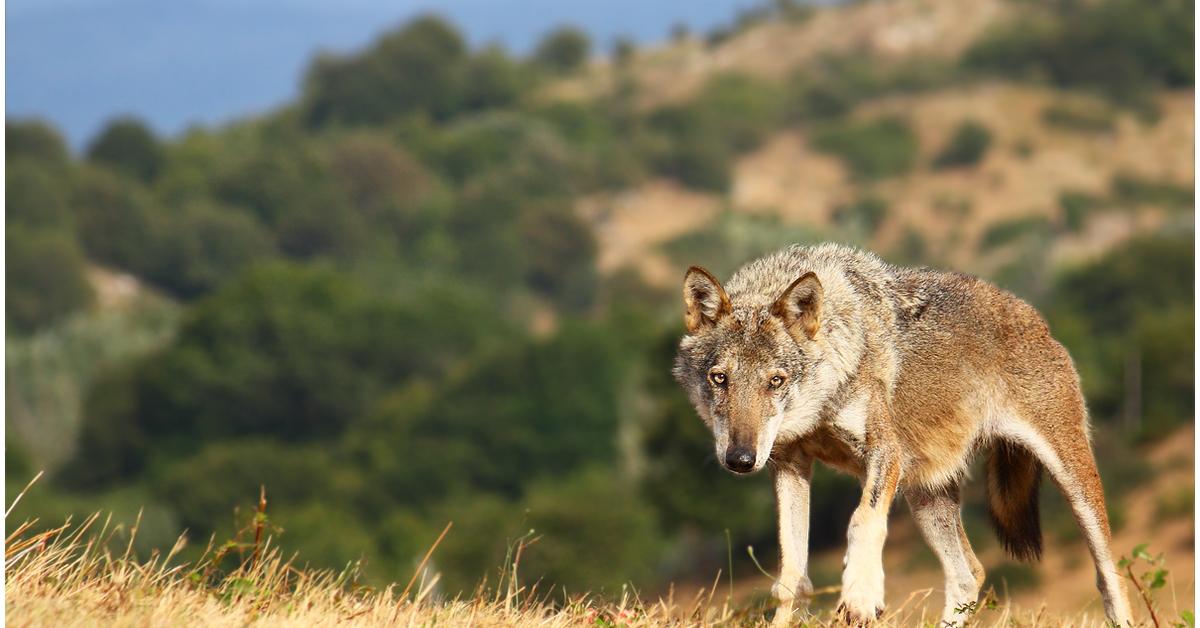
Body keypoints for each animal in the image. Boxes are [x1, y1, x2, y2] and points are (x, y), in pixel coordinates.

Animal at [676, 243, 1132, 624]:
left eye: (775, 381)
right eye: (720, 379)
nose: (740, 459)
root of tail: (1036, 319)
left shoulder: (884, 452)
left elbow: (863, 519)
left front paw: (861, 594)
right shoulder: (789, 464)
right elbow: (792, 576)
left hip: (1074, 484)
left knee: (1110, 578)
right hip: (925, 497)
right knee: (969, 574)